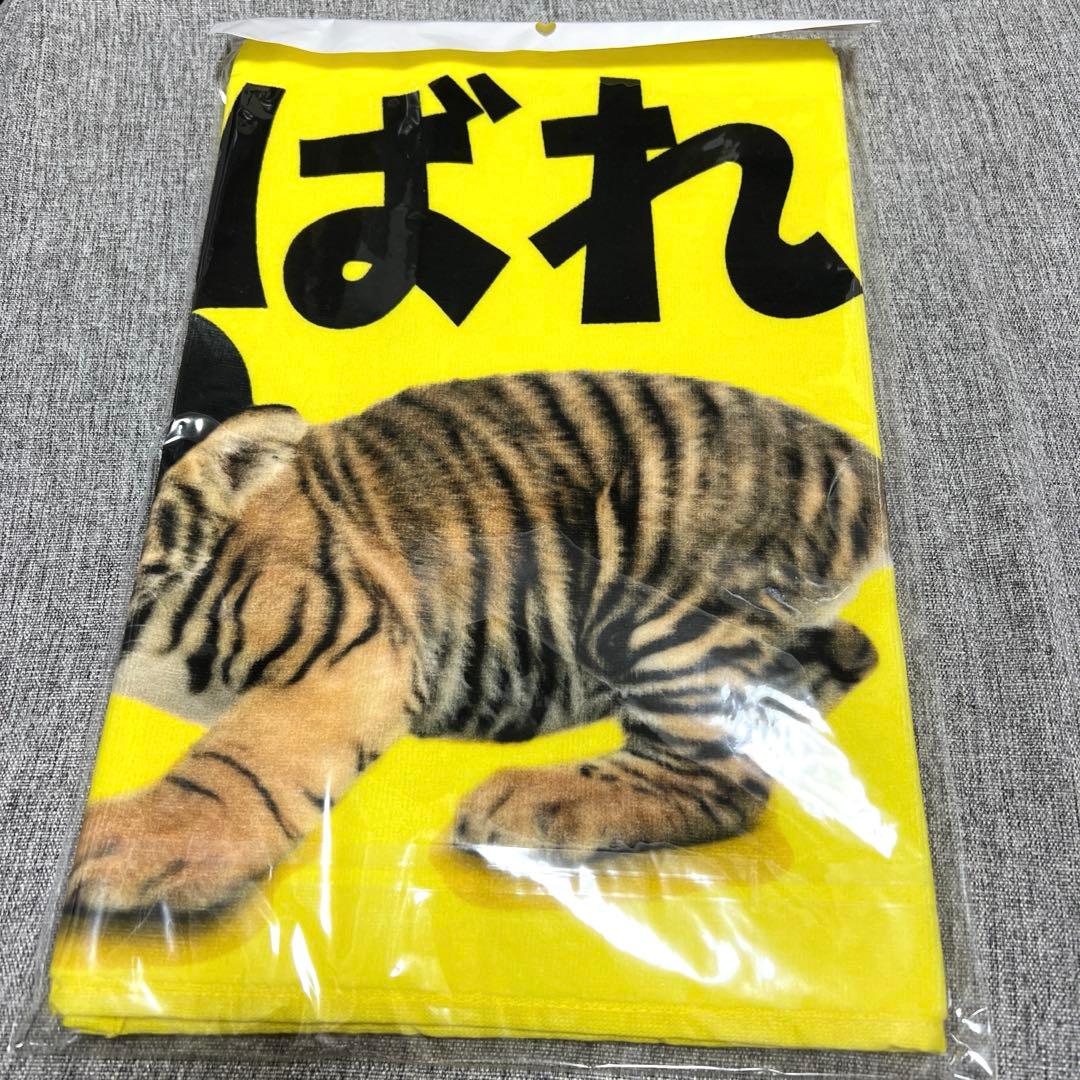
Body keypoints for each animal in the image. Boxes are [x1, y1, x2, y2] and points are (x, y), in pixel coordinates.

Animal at [65, 370, 885, 917]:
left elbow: (242, 759)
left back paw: (537, 803)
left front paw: (127, 843)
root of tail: (851, 449)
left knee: (725, 771)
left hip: (650, 591)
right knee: (832, 664)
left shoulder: (357, 638)